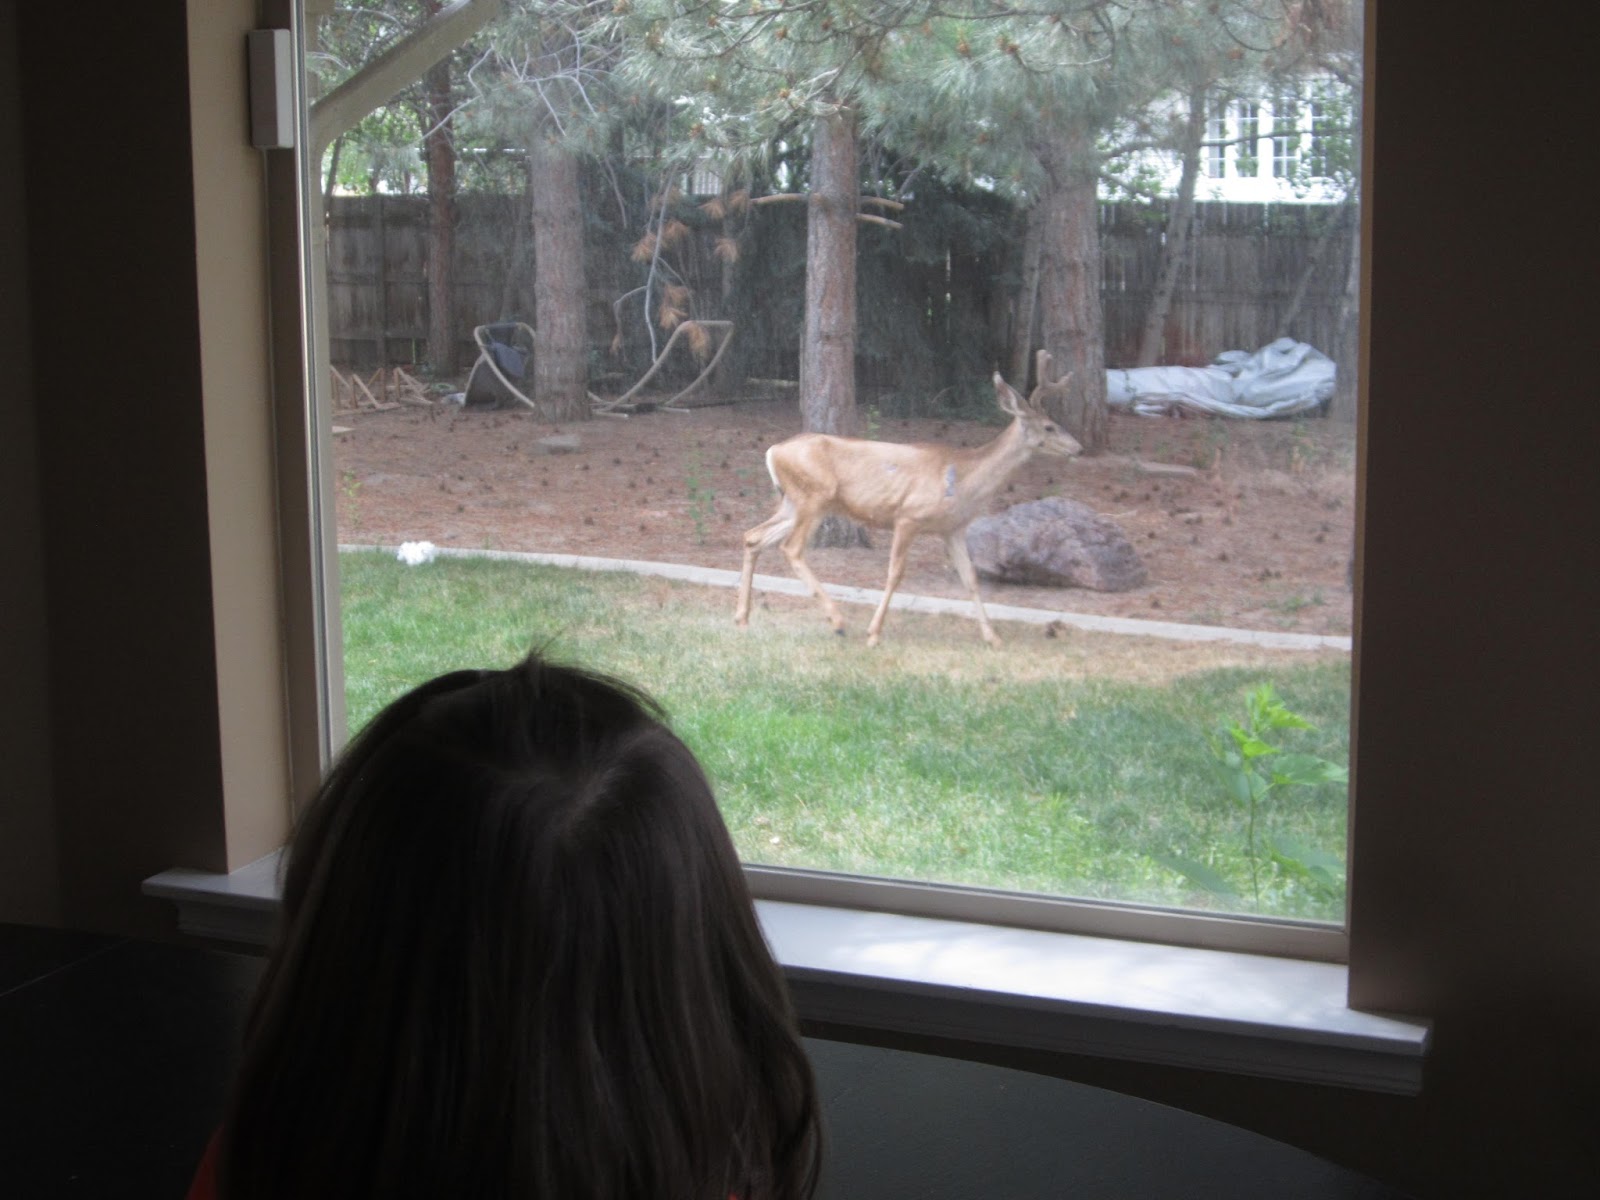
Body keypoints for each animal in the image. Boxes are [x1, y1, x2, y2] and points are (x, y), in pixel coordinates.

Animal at [735, 351, 1083, 648]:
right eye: (1050, 426)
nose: (1078, 448)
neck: (965, 477)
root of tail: (773, 451)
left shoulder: (953, 529)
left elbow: (970, 578)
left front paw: (993, 638)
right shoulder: (908, 516)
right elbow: (895, 574)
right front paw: (874, 634)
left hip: (792, 502)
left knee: (753, 537)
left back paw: (742, 618)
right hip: (813, 497)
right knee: (790, 547)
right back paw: (837, 621)